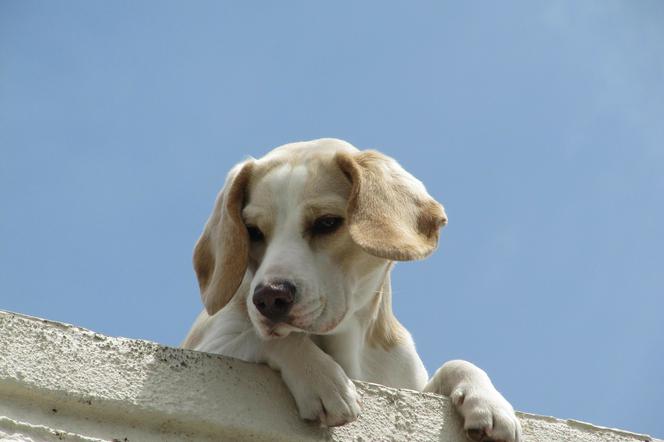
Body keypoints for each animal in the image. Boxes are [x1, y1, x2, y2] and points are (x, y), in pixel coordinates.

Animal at [183, 139, 524, 442]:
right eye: (253, 231)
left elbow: (456, 363)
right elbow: (269, 338)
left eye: (326, 223)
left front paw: (488, 401)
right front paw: (323, 380)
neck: (349, 345)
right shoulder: (210, 345)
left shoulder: (407, 384)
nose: (268, 297)